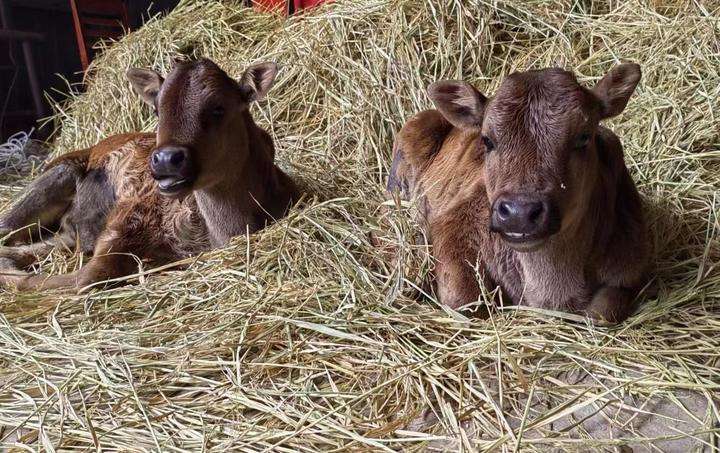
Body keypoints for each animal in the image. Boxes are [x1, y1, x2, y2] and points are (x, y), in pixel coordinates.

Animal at [390, 64, 648, 324]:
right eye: (487, 140)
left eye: (584, 137)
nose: (519, 213)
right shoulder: (453, 223)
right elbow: (464, 302)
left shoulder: (630, 267)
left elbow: (602, 312)